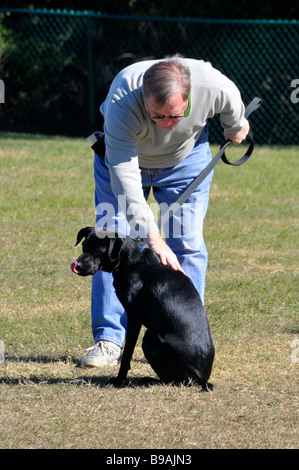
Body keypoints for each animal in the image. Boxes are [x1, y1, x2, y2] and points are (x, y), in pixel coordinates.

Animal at [71, 227, 216, 390]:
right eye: (84, 246)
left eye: (97, 250)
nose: (77, 266)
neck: (132, 261)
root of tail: (202, 379)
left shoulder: (134, 317)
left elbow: (127, 354)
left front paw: (119, 380)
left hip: (150, 338)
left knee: (177, 381)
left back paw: (150, 380)